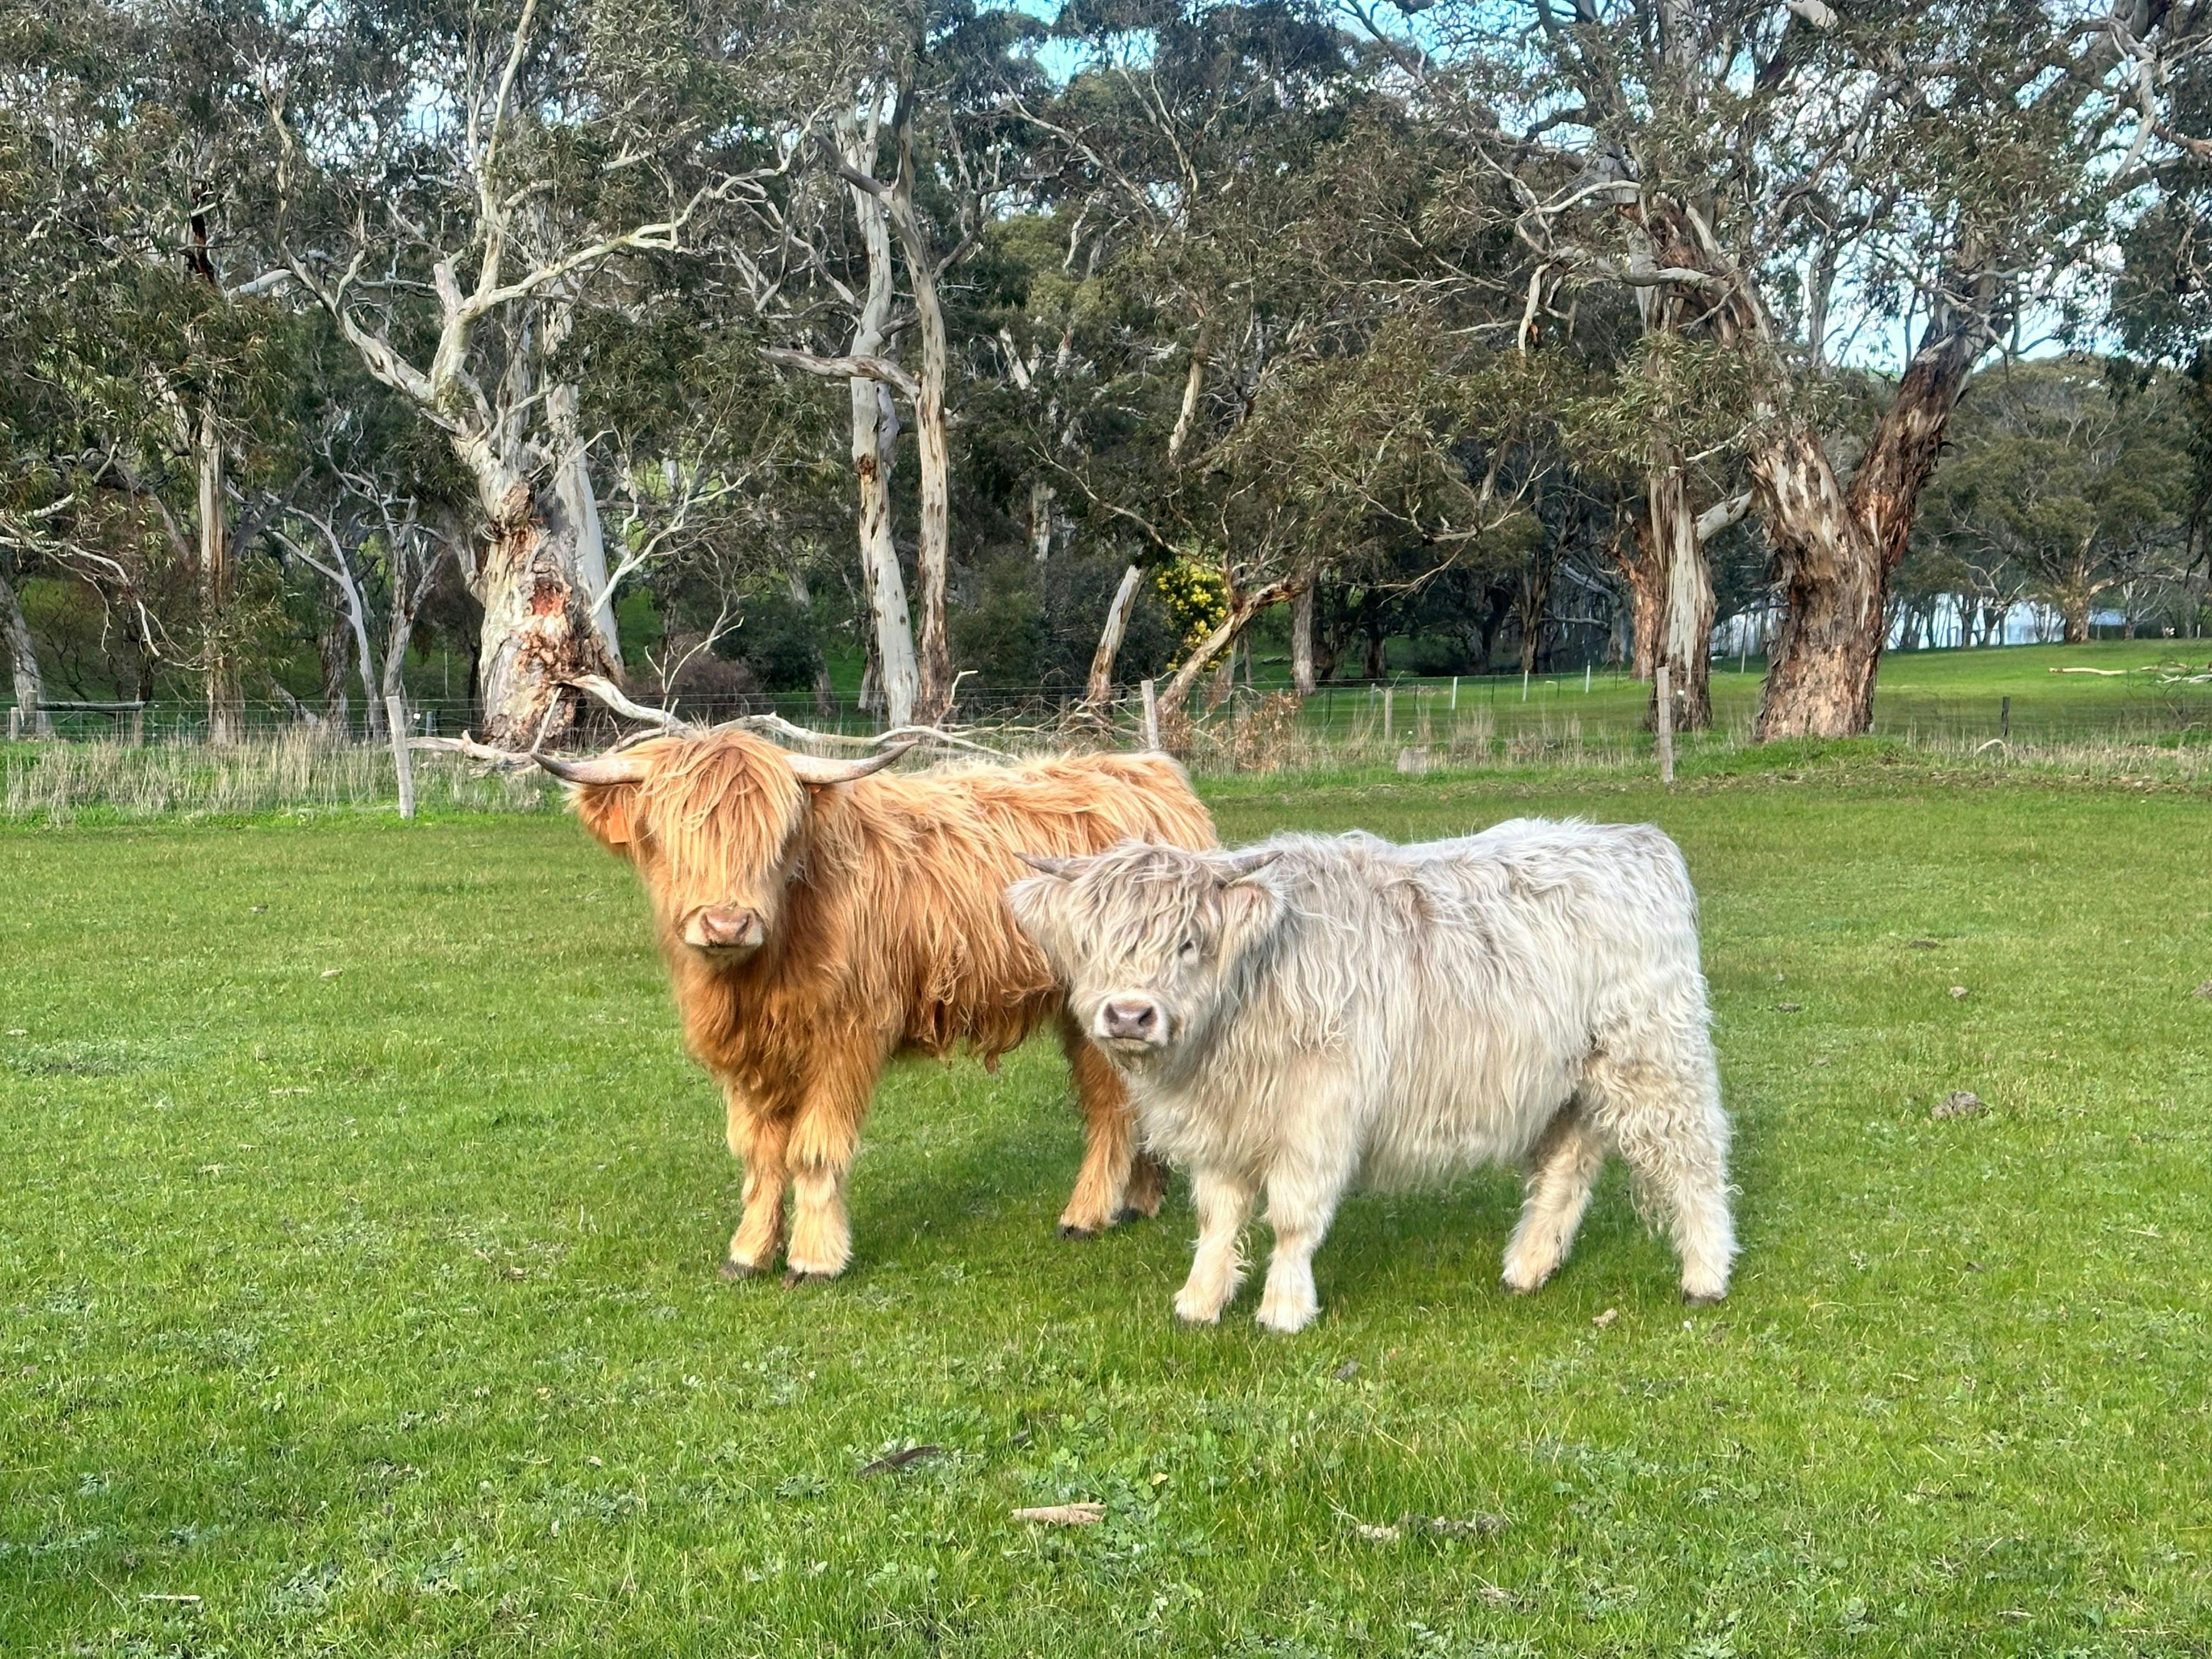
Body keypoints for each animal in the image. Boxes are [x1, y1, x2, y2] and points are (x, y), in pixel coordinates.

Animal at [537, 728, 1215, 1283]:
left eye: (778, 839)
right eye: (670, 837)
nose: (727, 924)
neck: (757, 974)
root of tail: (1152, 776)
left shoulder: (847, 1037)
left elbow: (812, 1151)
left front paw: (814, 1260)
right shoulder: (748, 1054)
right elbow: (760, 1156)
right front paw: (748, 1253)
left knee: (1110, 1109)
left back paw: (1087, 1214)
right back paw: (1141, 1200)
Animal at [1005, 820, 1735, 1333]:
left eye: (1189, 942)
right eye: (1090, 944)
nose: (1129, 1015)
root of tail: (1631, 841)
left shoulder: (1316, 1119)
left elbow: (1292, 1218)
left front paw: (1284, 1309)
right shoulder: (1223, 1129)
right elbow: (1219, 1216)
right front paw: (1200, 1300)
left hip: (1654, 1058)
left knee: (1694, 1160)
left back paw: (1705, 1276)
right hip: (1571, 1081)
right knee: (1567, 1167)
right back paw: (1526, 1269)